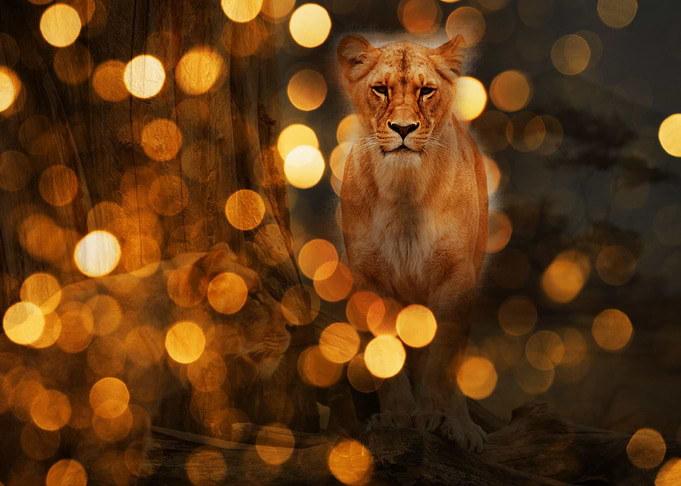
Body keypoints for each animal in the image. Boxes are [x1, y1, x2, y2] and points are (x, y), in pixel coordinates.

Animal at [337, 34, 489, 452]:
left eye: (426, 91)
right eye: (380, 89)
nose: (403, 128)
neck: (405, 191)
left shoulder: (456, 277)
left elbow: (441, 361)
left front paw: (433, 416)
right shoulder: (369, 278)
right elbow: (384, 352)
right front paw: (396, 416)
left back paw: (462, 424)